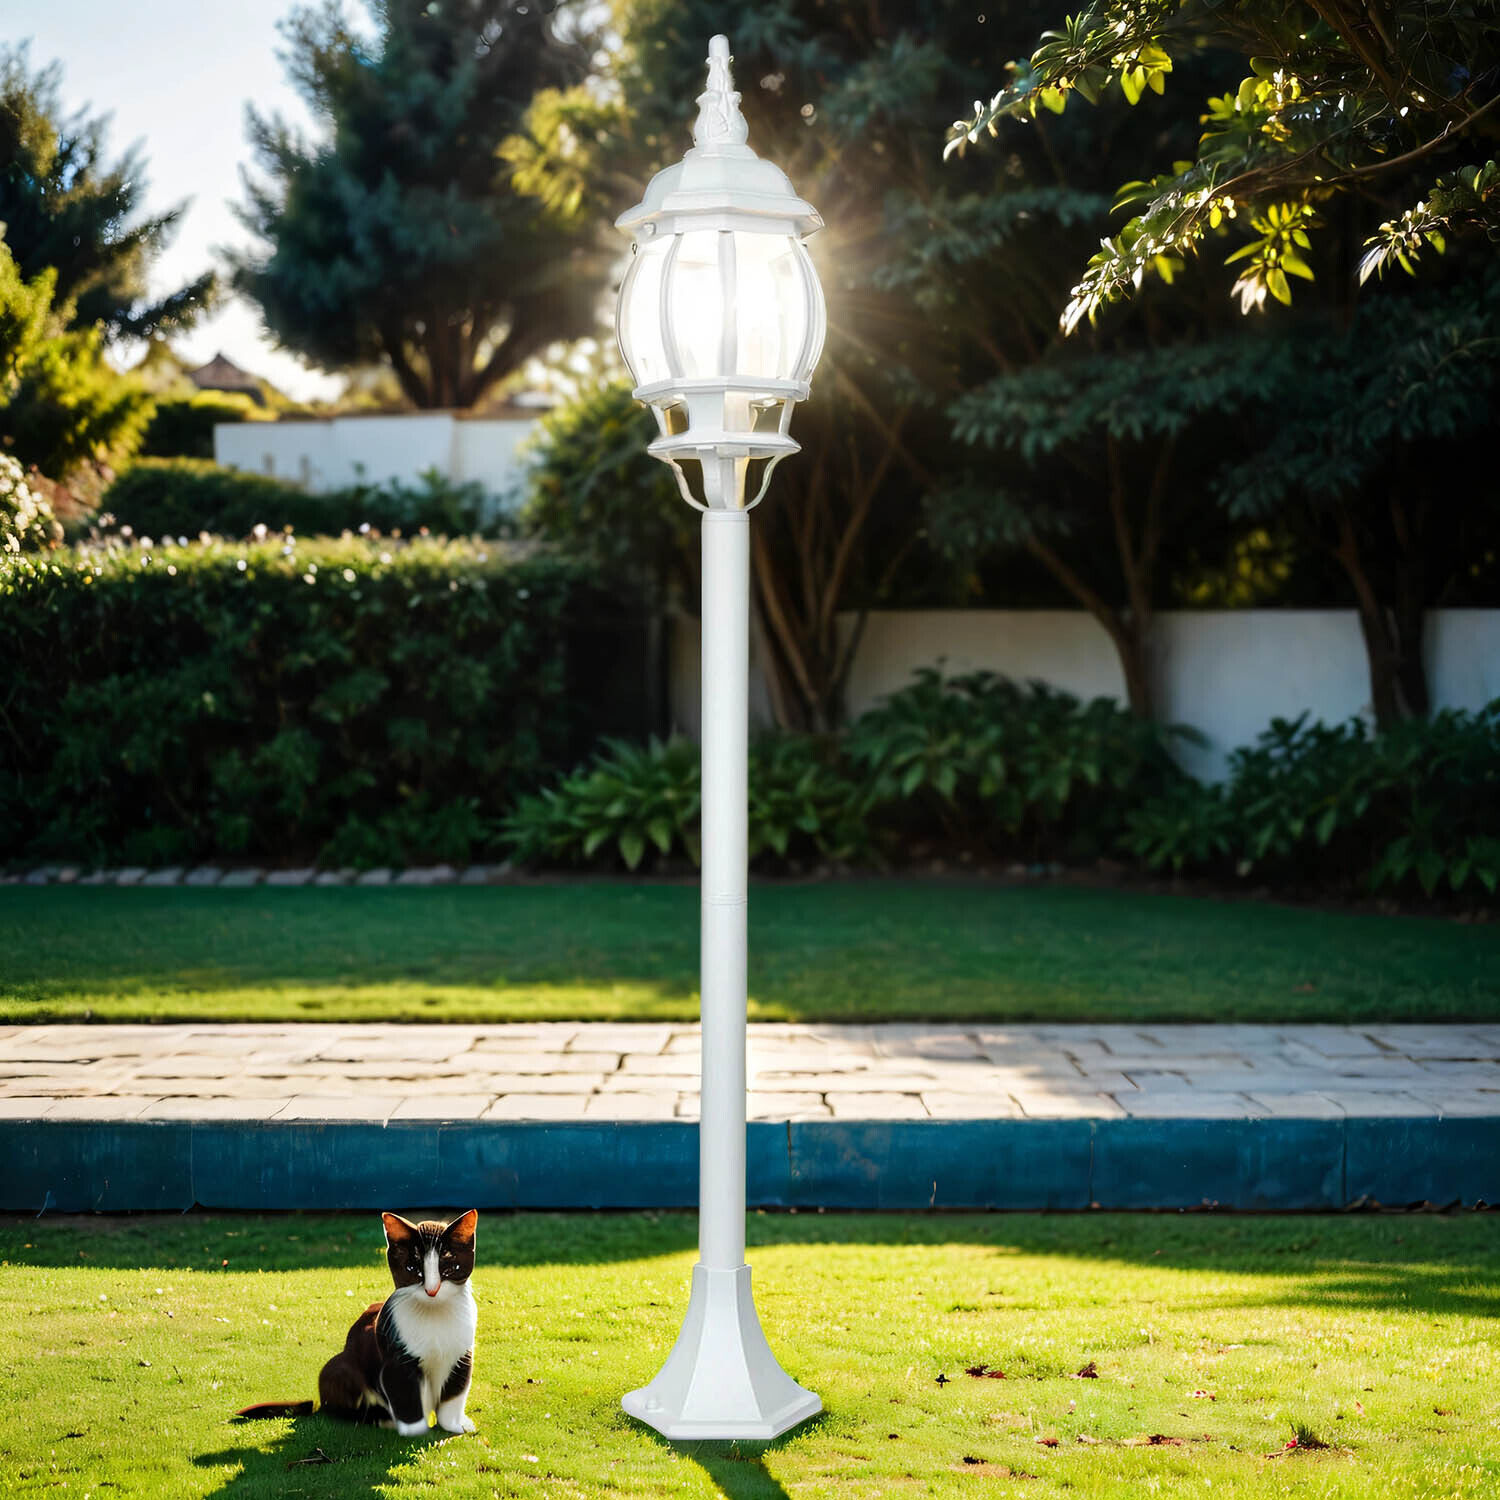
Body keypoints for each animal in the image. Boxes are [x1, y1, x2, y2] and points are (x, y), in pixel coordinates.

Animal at [237, 1200, 477, 1434]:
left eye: (449, 1268)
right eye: (412, 1269)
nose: (432, 1290)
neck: (434, 1316)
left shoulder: (462, 1353)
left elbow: (454, 1394)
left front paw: (455, 1425)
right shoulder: (395, 1357)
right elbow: (404, 1392)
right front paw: (414, 1430)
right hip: (339, 1368)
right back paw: (381, 1418)